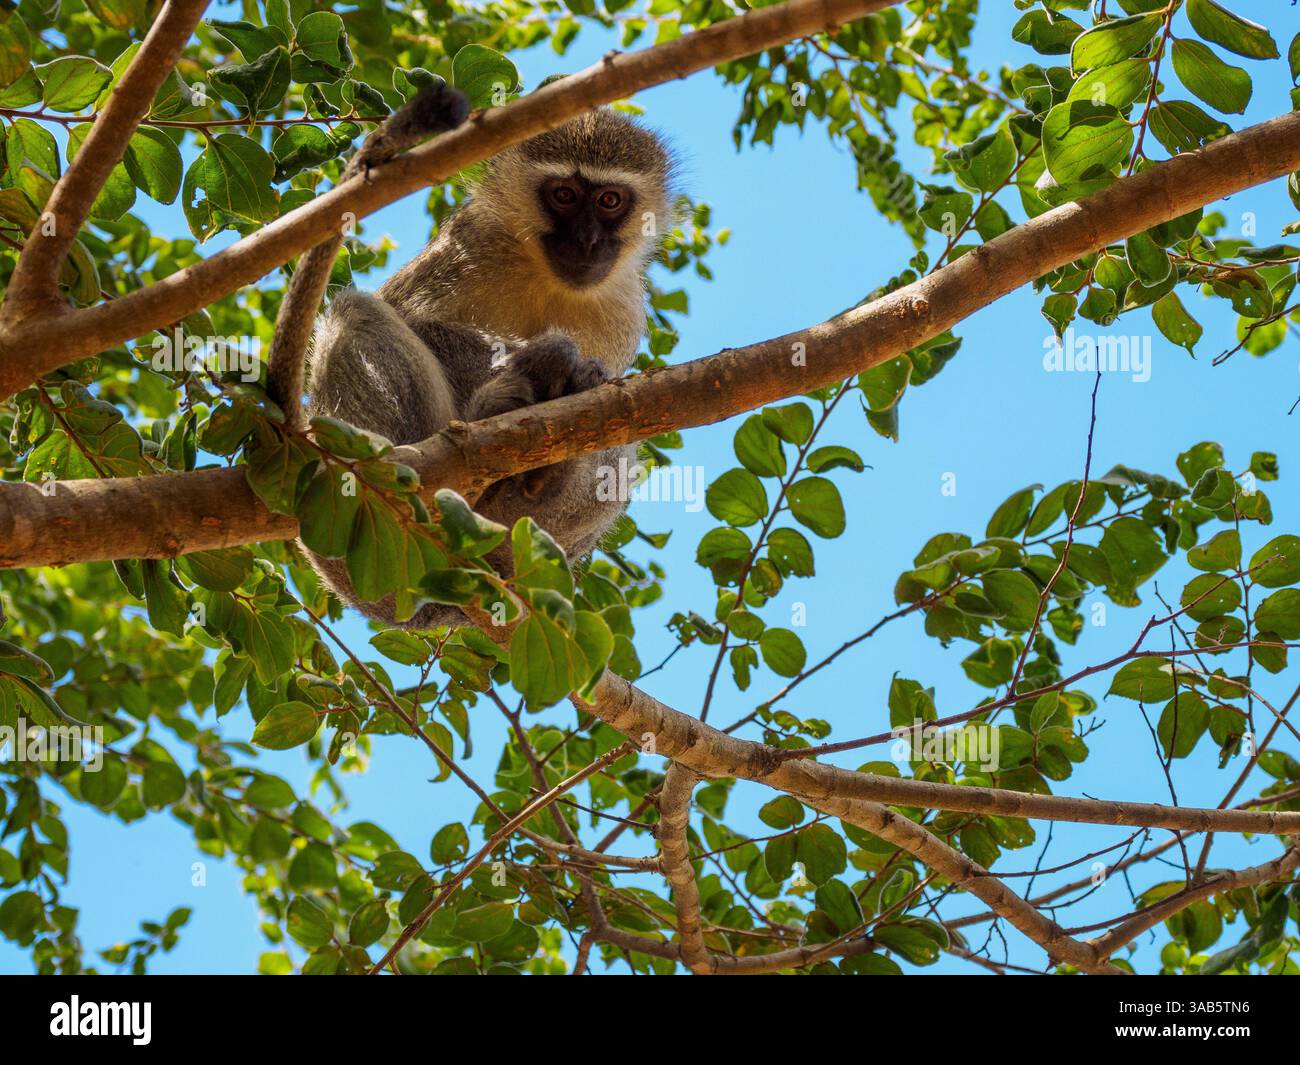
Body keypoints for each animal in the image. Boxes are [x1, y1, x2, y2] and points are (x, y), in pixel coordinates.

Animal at [280, 96, 677, 629]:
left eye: (610, 201)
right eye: (565, 195)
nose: (588, 242)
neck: (540, 271)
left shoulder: (623, 307)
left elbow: (611, 391)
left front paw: (575, 375)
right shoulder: (468, 245)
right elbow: (414, 319)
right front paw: (539, 360)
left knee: (619, 436)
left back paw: (535, 483)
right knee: (357, 314)